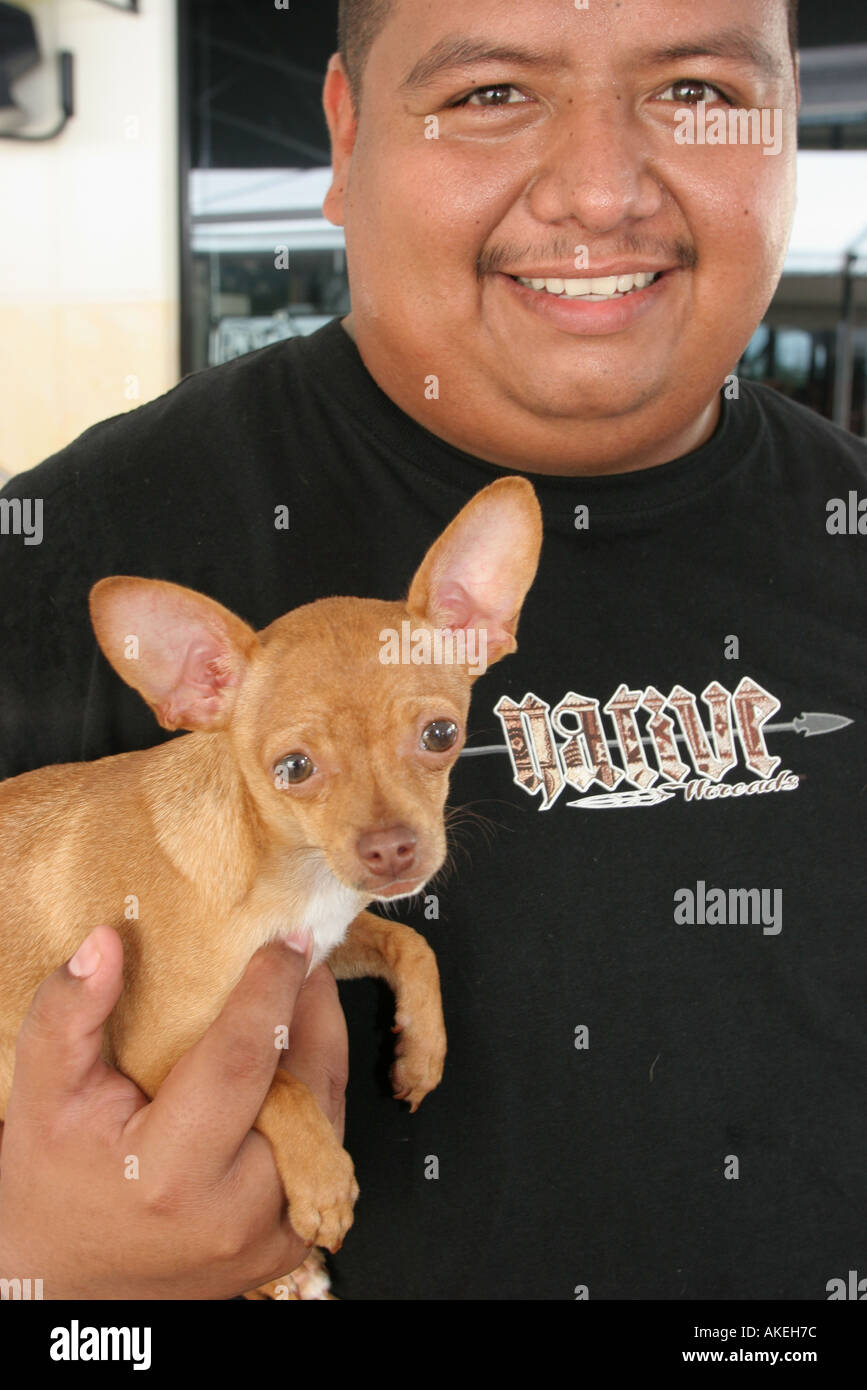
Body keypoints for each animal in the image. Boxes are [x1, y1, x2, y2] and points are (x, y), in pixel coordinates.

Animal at [0, 475, 541, 1289]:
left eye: (441, 736)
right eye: (293, 769)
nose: (391, 849)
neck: (285, 873)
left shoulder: (322, 939)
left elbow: (410, 945)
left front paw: (422, 1050)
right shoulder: (158, 1057)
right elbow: (279, 1086)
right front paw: (324, 1182)